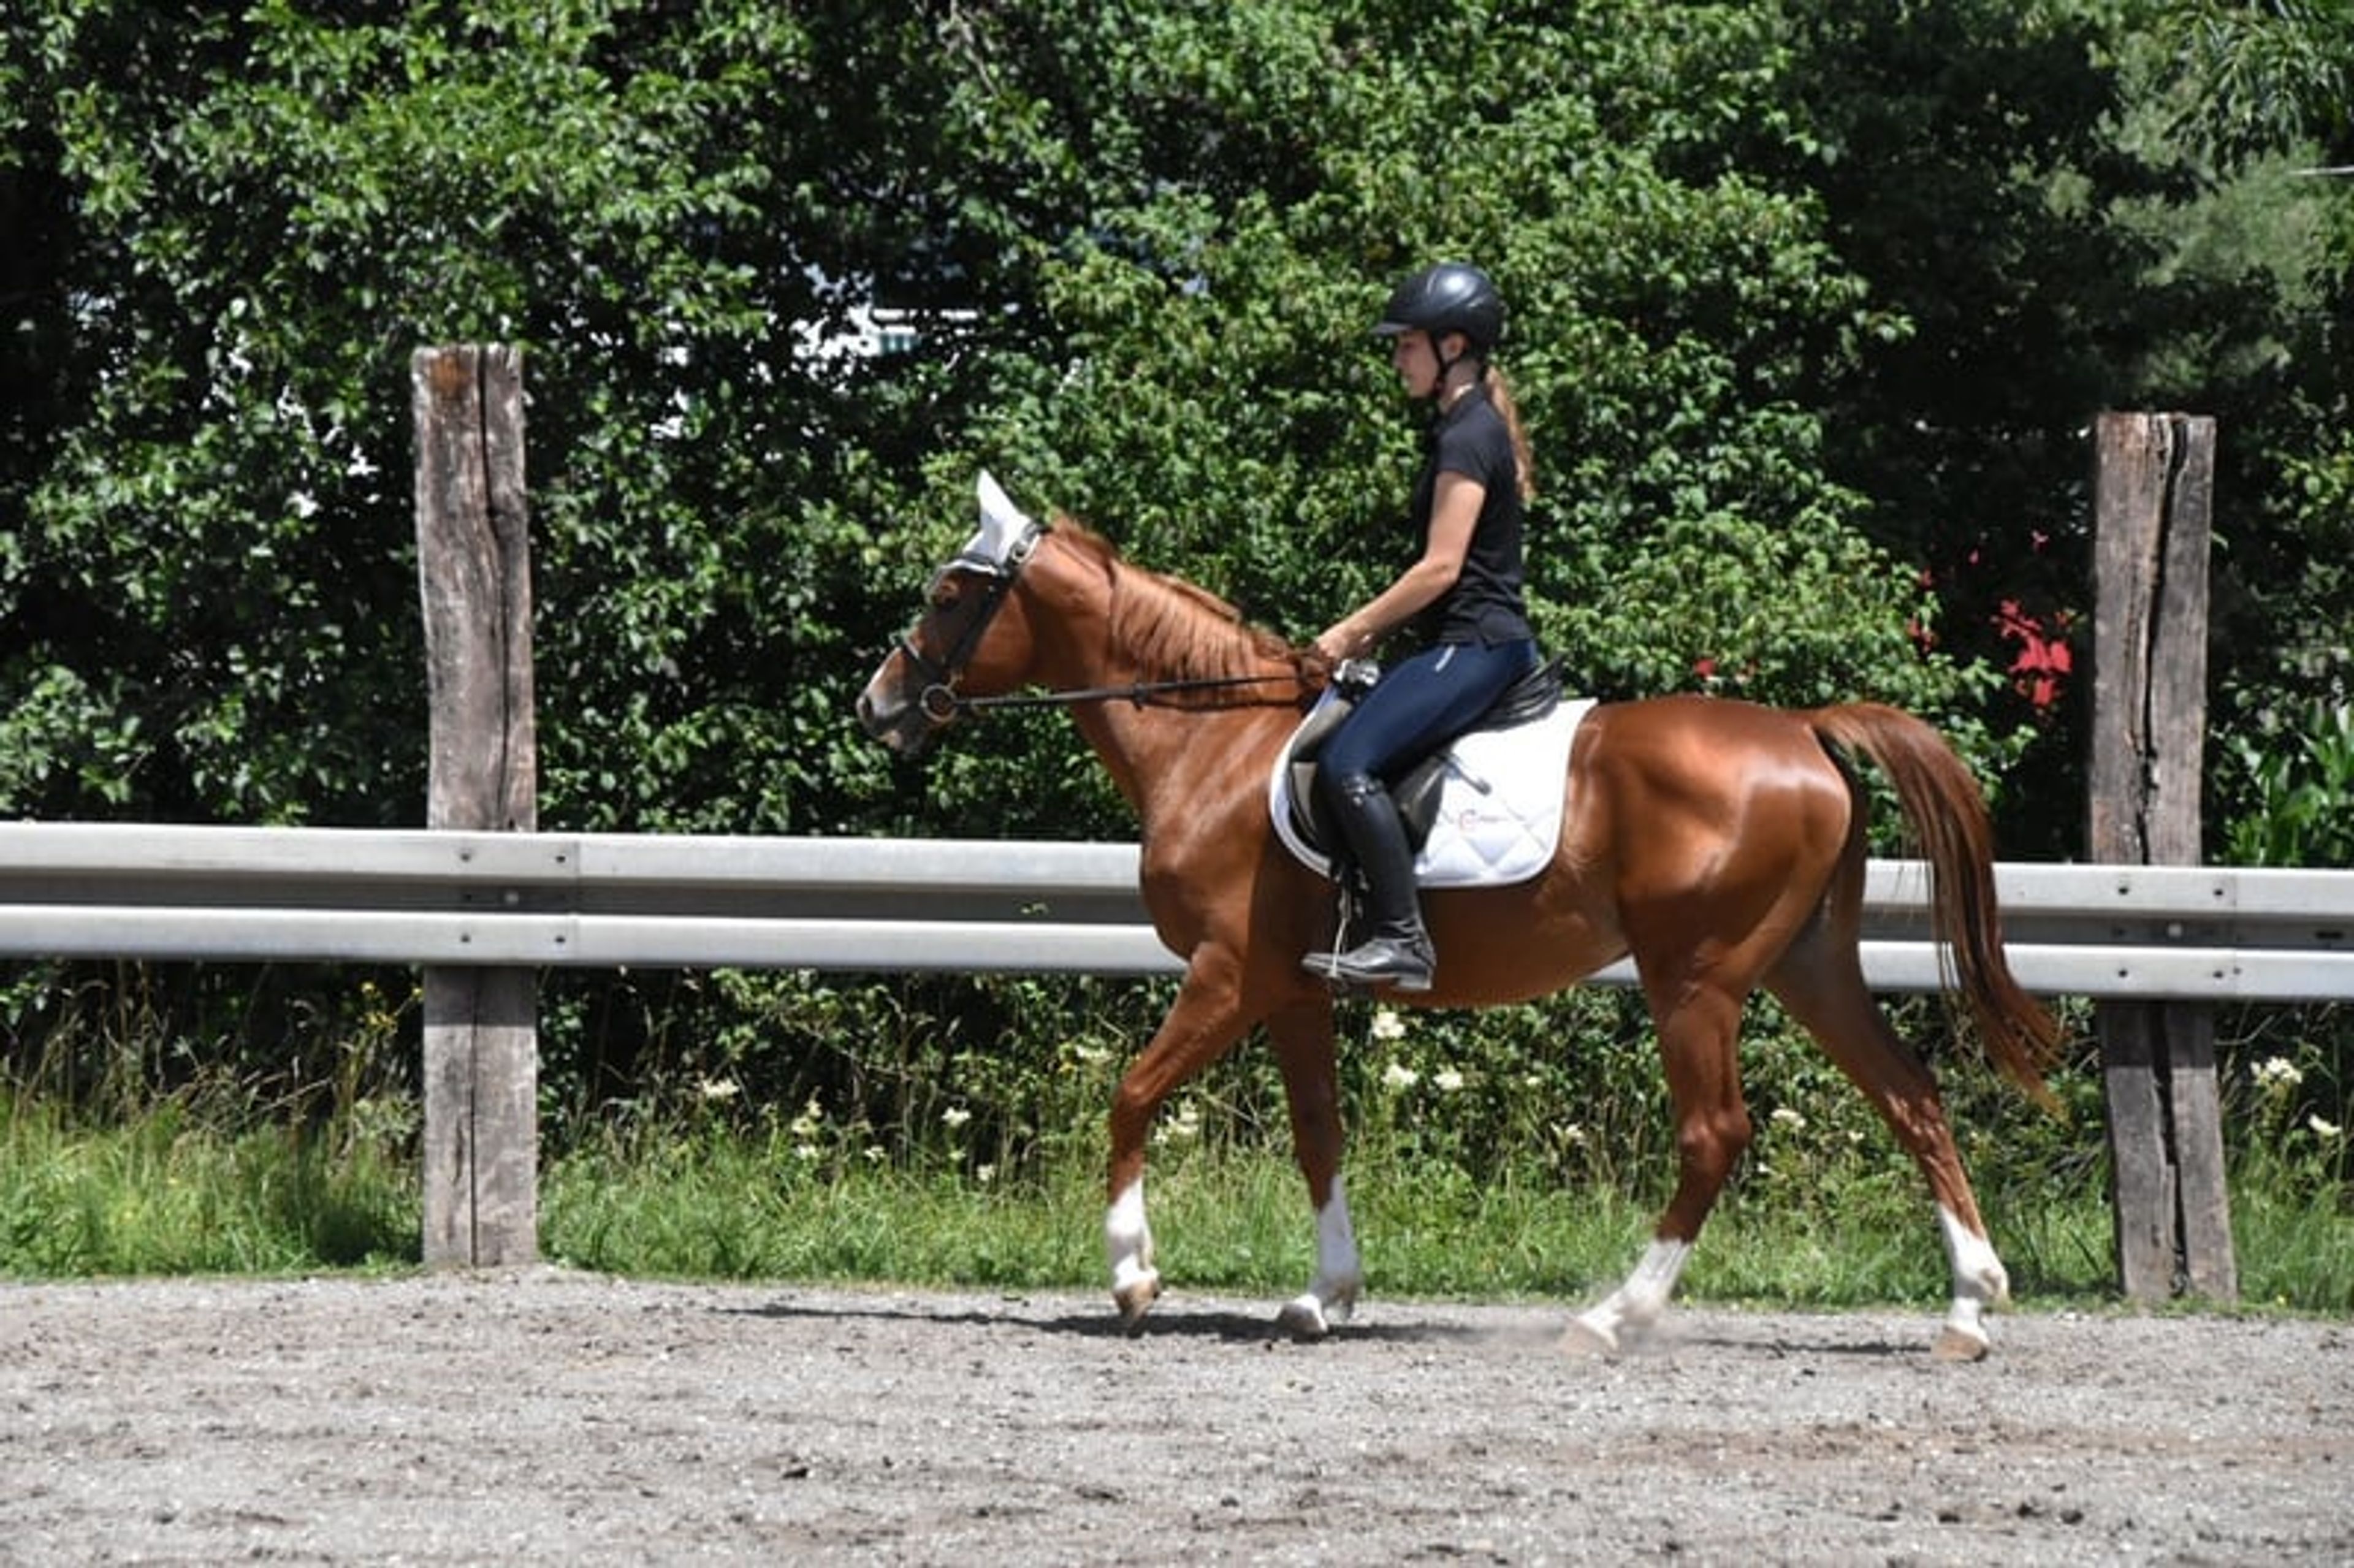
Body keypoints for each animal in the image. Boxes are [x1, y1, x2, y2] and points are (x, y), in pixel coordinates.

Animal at [856, 481, 2063, 1360]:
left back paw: (1613, 1316)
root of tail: (1807, 730)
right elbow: (1320, 1133)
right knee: (1911, 1096)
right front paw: (1324, 1295)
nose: (880, 706)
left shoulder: (1227, 972)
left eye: (951, 595)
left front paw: (1133, 1276)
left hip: (1698, 978)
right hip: (1807, 965)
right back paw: (1967, 1308)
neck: (1215, 743)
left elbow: (1131, 1094)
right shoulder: (1293, 989)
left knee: (1717, 1133)